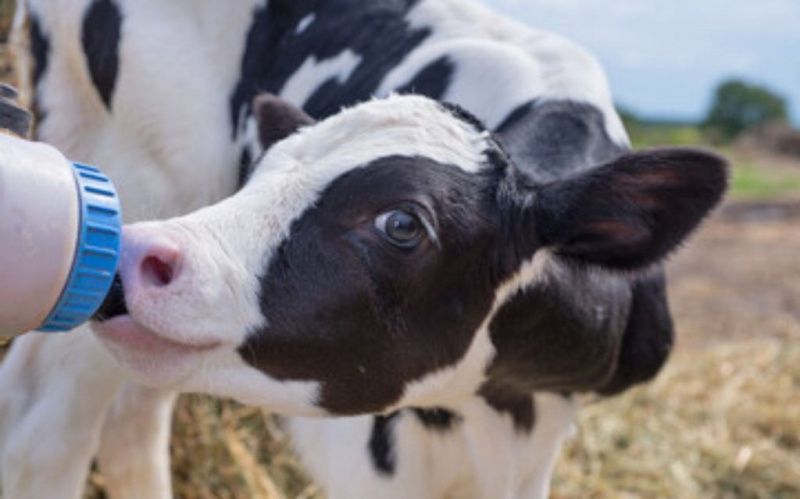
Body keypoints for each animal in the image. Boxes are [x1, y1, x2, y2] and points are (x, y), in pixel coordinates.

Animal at [0, 1, 727, 498]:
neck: (496, 409)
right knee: (45, 429)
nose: (138, 253)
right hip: (131, 166)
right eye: (260, 169)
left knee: (130, 419)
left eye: (402, 223)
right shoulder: (368, 457)